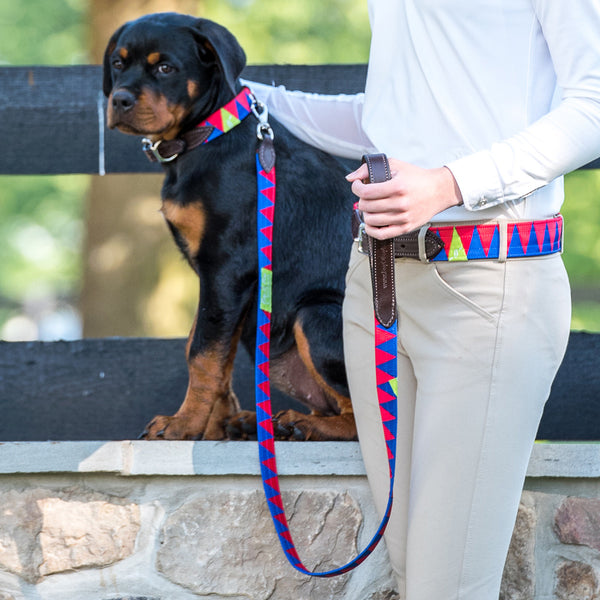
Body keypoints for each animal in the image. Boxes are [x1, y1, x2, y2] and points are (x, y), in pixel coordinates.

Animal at [102, 12, 356, 440]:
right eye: (118, 64)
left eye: (165, 68)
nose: (119, 100)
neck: (207, 136)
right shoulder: (216, 279)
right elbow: (207, 347)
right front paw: (213, 426)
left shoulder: (227, 265)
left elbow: (203, 353)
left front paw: (183, 426)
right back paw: (255, 423)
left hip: (316, 314)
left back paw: (300, 425)